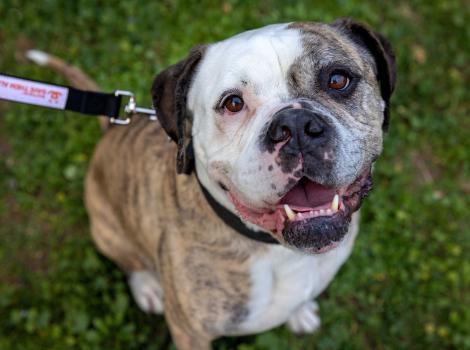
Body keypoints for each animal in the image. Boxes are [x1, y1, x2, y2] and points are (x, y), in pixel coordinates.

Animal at [75, 17, 392, 348]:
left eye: (338, 80)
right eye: (233, 103)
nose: (296, 126)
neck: (279, 251)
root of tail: (112, 128)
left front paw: (300, 313)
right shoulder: (190, 334)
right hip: (108, 231)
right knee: (130, 262)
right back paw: (147, 286)